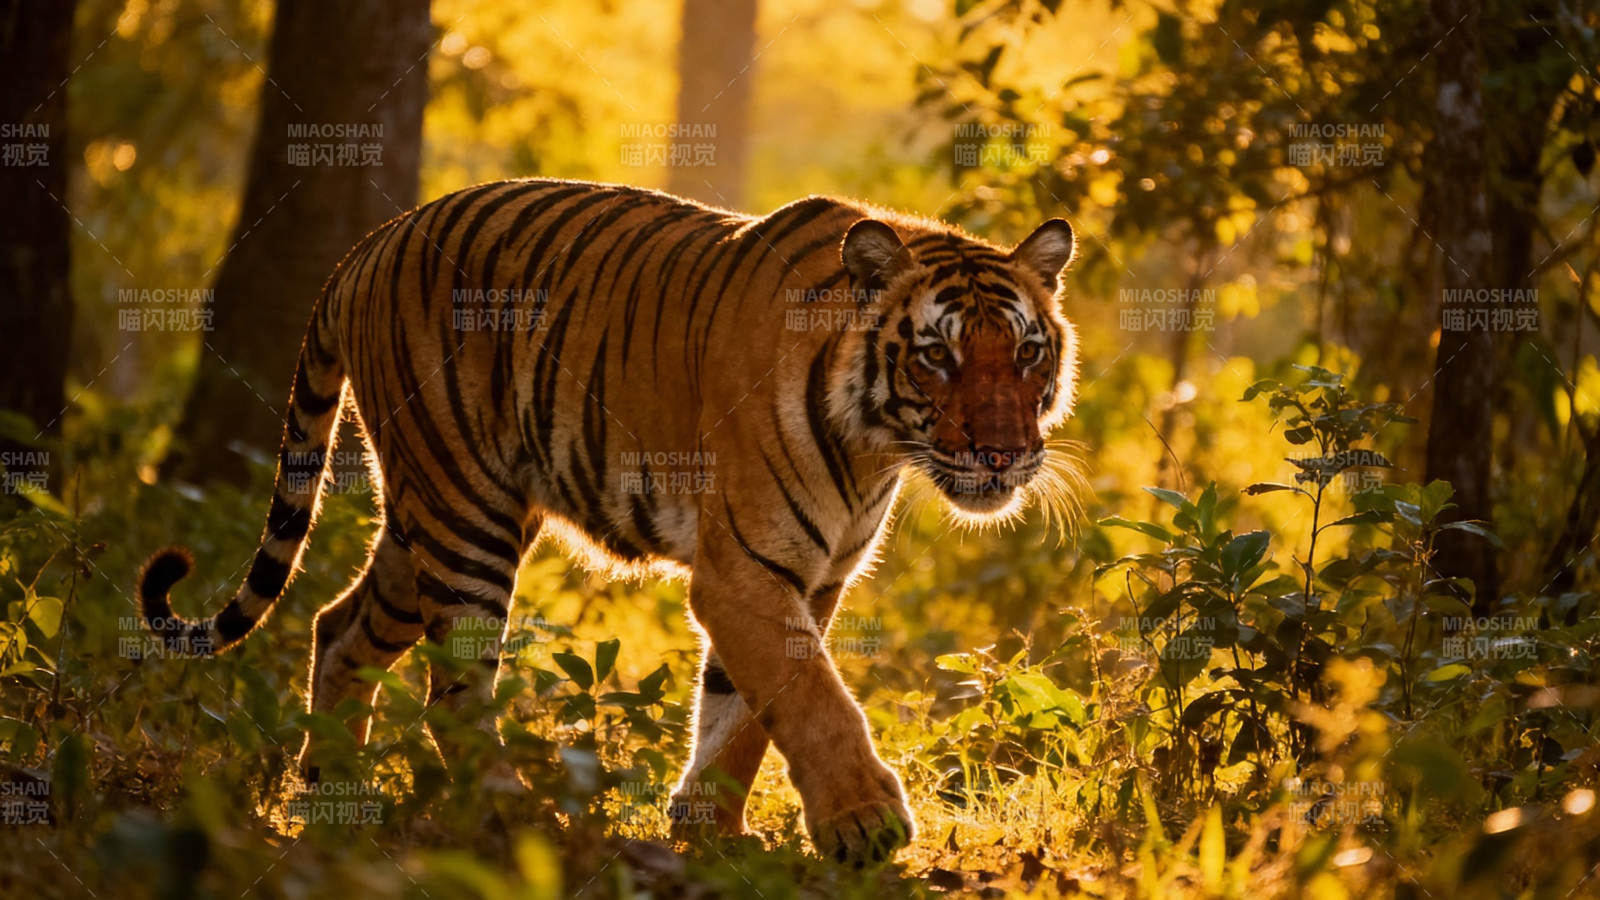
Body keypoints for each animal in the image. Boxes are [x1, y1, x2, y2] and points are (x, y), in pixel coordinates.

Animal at [138, 177, 1082, 865]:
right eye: (937, 356)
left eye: (1027, 352)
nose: (1002, 456)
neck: (875, 448)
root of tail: (371, 243)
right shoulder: (745, 570)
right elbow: (812, 697)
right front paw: (864, 824)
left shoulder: (812, 579)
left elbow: (743, 716)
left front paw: (711, 831)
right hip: (462, 514)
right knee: (454, 691)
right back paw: (510, 817)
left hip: (426, 524)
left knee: (338, 626)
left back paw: (331, 798)